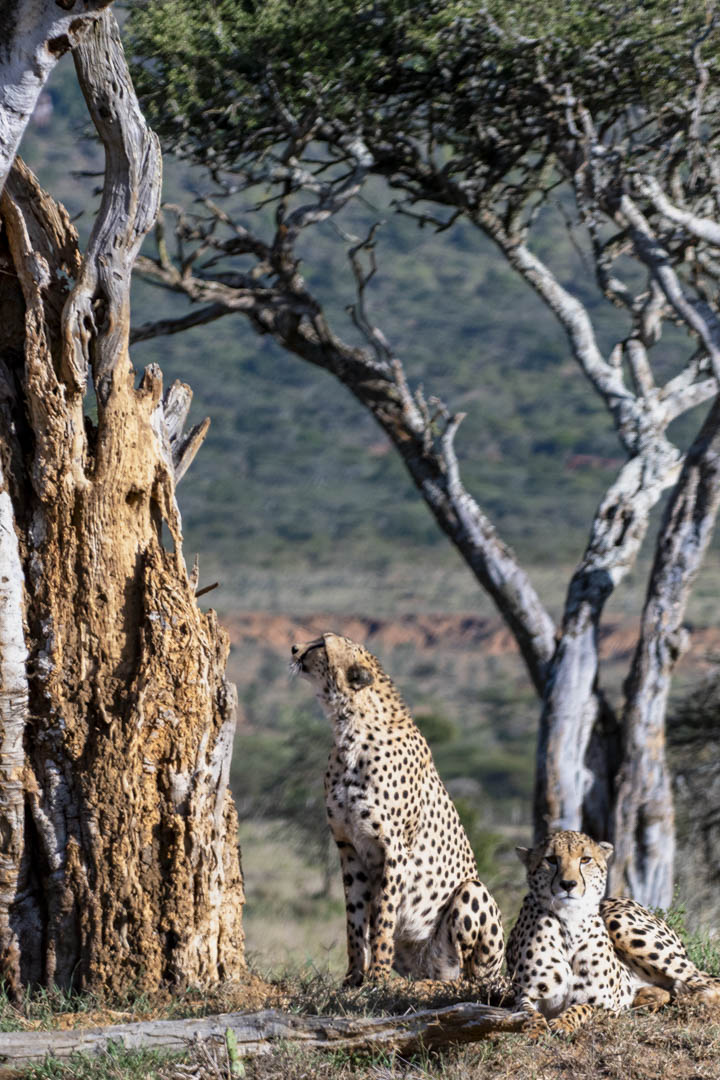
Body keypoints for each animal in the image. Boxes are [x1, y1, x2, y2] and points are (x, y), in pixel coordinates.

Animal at [291, 631, 504, 987]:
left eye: (322, 643)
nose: (294, 648)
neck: (349, 731)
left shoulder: (394, 849)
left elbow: (382, 918)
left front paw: (376, 976)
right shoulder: (348, 846)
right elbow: (355, 921)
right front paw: (353, 977)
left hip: (472, 894)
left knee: (470, 972)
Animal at [507, 829, 720, 1035]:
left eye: (585, 859)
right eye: (551, 859)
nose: (568, 884)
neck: (570, 922)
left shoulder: (607, 1004)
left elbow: (582, 1008)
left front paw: (563, 1022)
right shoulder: (525, 995)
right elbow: (528, 1013)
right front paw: (535, 1029)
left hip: (621, 924)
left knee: (706, 981)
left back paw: (695, 1000)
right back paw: (648, 998)